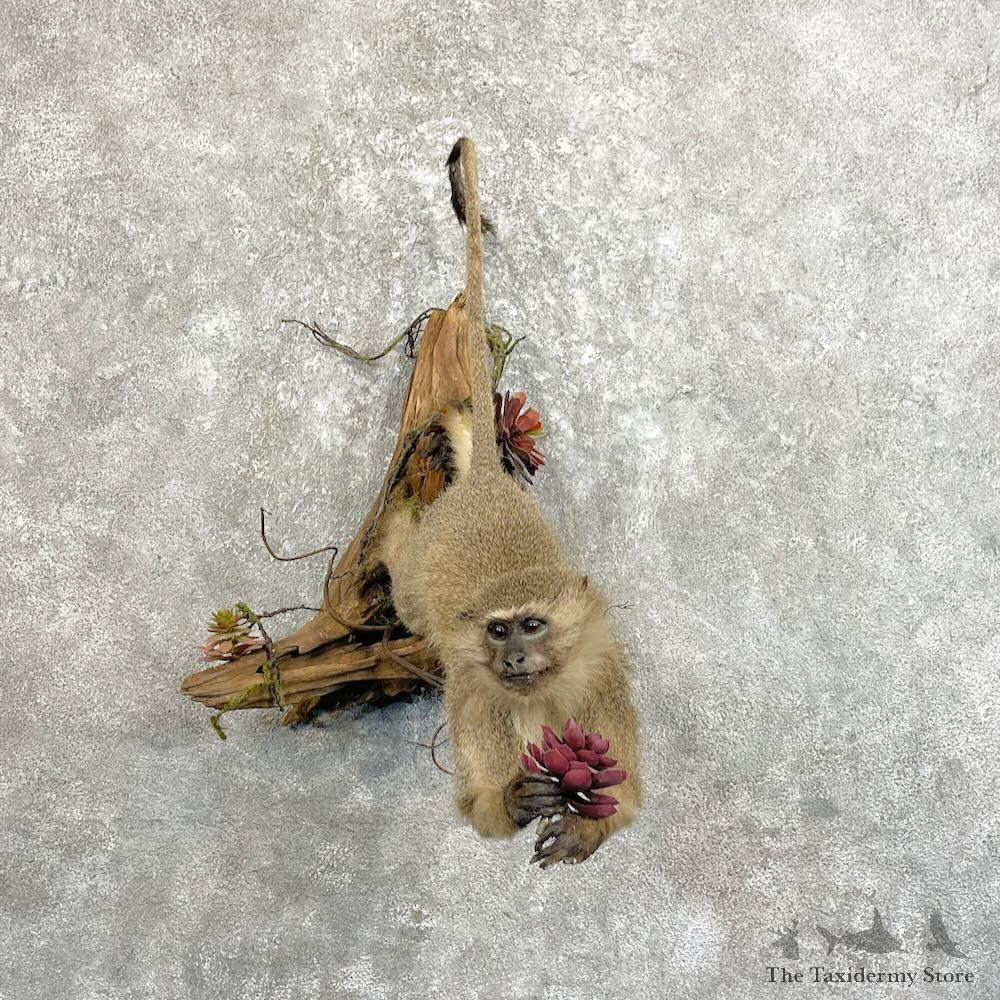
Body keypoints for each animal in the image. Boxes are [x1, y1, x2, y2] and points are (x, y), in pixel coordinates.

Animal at [374, 137, 642, 867]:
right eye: (498, 632)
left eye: (532, 626)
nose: (514, 659)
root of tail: (488, 486)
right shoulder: (476, 699)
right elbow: (478, 813)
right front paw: (512, 800)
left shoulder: (603, 676)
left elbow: (629, 797)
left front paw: (587, 826)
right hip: (422, 572)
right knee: (409, 597)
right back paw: (395, 530)